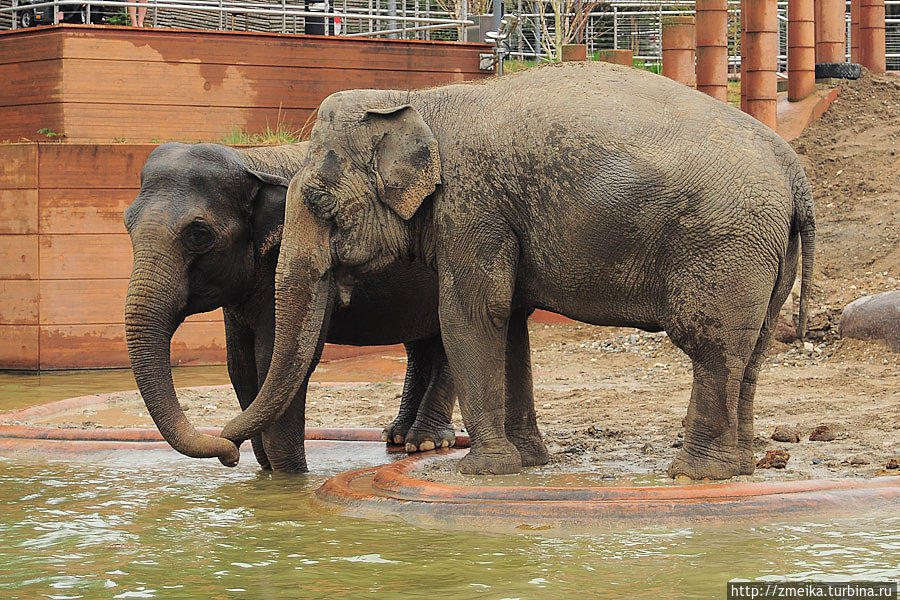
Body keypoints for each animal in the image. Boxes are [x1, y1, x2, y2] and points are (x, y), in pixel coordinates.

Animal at [123, 142, 458, 474]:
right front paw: (267, 471)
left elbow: (277, 360)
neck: (252, 161)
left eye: (199, 234)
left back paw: (425, 442)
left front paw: (291, 477)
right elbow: (240, 365)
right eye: (127, 223)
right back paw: (398, 436)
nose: (230, 455)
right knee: (420, 343)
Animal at [207, 62, 812, 482]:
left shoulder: (473, 205)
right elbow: (512, 321)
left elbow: (473, 316)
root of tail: (793, 168)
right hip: (766, 254)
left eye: (318, 200)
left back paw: (696, 474)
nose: (230, 457)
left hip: (724, 245)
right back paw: (739, 468)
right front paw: (528, 460)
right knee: (752, 350)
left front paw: (482, 469)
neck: (418, 101)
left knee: (710, 345)